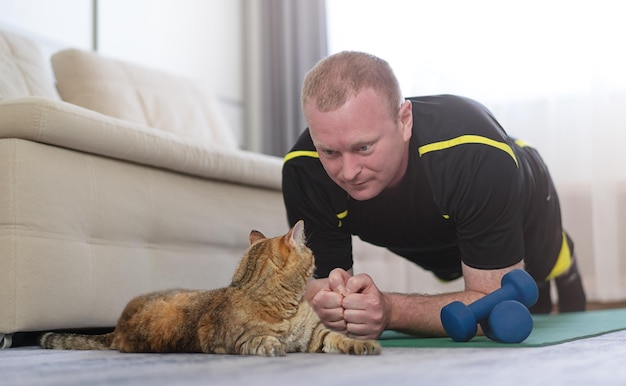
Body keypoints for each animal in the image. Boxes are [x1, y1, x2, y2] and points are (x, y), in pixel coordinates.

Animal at [40, 220, 380, 356]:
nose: (319, 261)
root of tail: (117, 327)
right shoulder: (238, 339)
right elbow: (261, 341)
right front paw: (274, 345)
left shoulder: (316, 335)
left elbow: (339, 338)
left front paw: (364, 345)